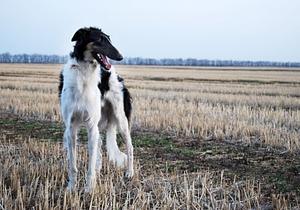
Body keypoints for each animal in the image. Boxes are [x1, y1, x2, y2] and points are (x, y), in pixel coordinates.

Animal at [58, 26, 134, 192]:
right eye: (100, 39)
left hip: (121, 119)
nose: (120, 56)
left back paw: (130, 173)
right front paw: (71, 188)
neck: (84, 72)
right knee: (99, 149)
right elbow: (72, 165)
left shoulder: (91, 125)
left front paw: (89, 189)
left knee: (130, 147)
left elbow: (90, 164)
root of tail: (115, 73)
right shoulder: (70, 127)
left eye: (109, 39)